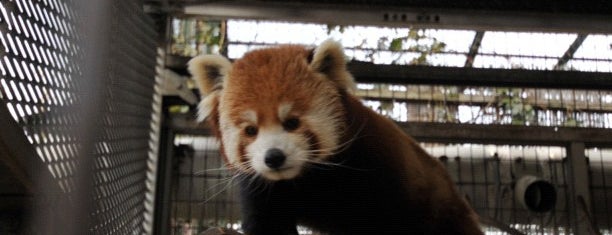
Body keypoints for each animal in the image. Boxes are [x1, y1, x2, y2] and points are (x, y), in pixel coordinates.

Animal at [189, 40, 486, 235]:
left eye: (292, 122)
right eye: (251, 130)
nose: (274, 157)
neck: (307, 178)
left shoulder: (375, 168)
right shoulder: (261, 187)